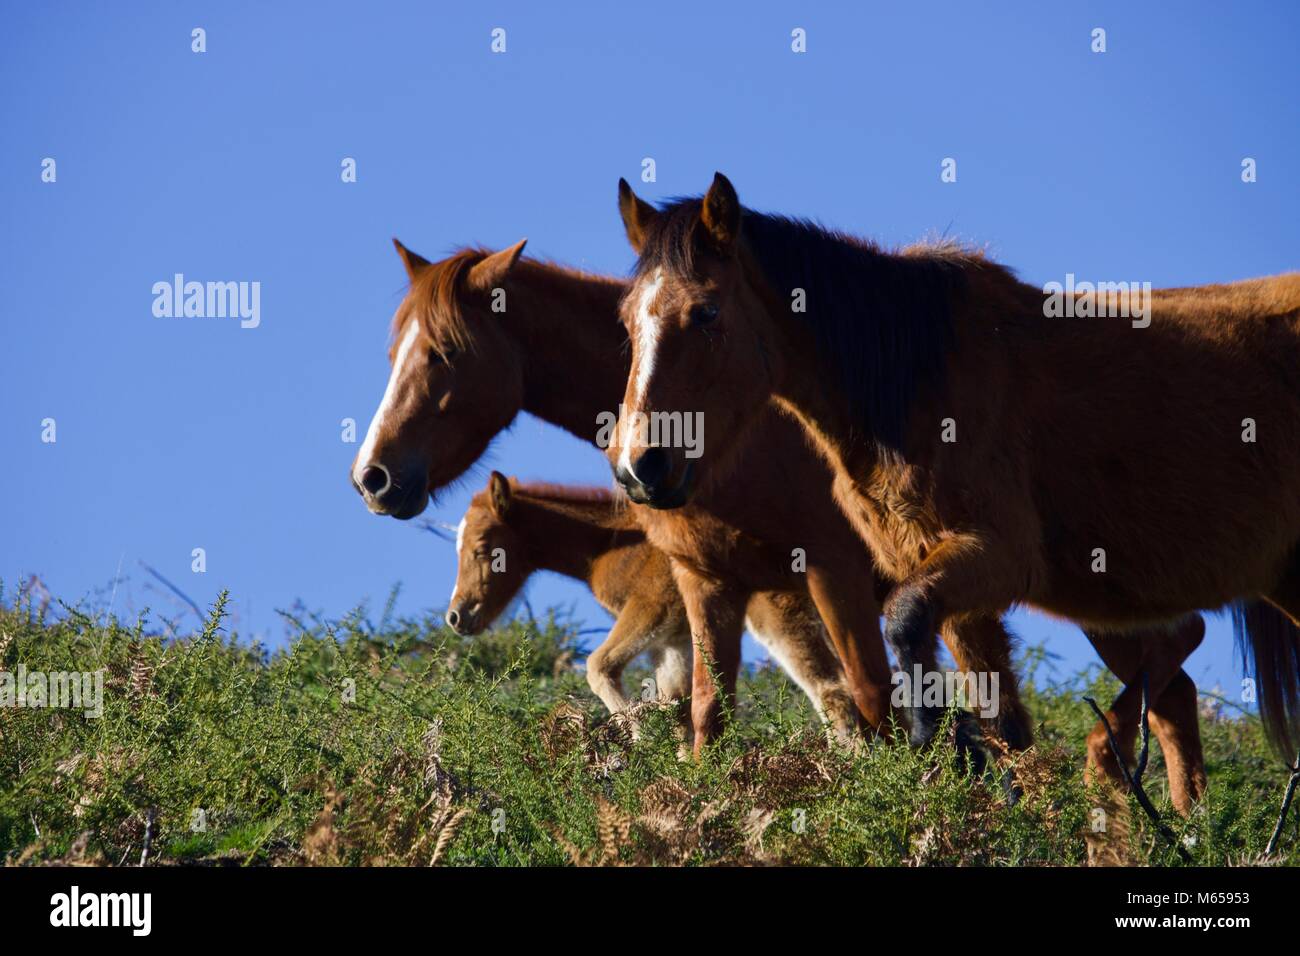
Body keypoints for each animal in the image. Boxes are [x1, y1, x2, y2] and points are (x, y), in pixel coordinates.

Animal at [447, 473, 863, 738]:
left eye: (482, 548)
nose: (457, 615)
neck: (611, 544)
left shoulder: (652, 608)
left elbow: (599, 666)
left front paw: (638, 734)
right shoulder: (672, 640)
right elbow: (679, 707)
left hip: (774, 611)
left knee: (831, 689)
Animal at [605, 174, 1300, 770]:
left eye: (707, 313)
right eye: (627, 320)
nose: (641, 466)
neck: (914, 380)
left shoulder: (997, 558)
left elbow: (905, 627)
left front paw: (935, 746)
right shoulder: (958, 593)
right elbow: (1008, 728)